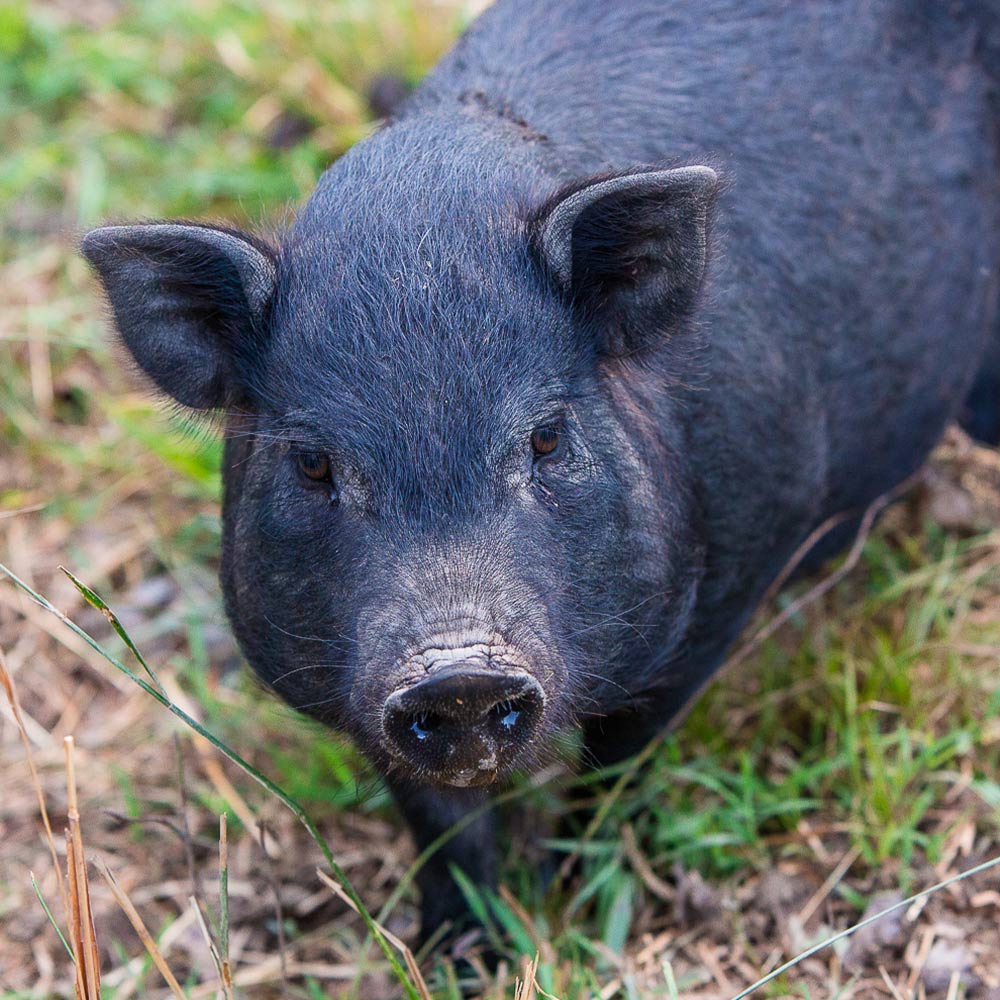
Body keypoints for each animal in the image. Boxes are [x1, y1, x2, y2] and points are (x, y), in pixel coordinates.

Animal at [80, 0, 1000, 936]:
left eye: (548, 439)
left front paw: (574, 900)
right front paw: (464, 945)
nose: (458, 674)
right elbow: (437, 817)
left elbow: (618, 764)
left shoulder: (729, 579)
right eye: (312, 462)